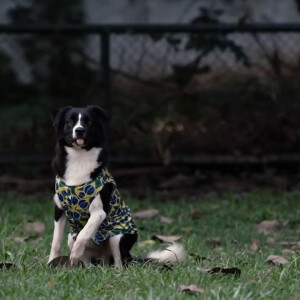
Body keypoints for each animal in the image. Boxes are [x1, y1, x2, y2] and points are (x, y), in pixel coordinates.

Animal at [48, 106, 185, 268]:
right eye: (70, 121)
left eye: (89, 122)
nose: (80, 130)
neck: (79, 158)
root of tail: (103, 260)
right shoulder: (59, 210)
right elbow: (56, 240)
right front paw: (52, 260)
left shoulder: (99, 213)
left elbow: (84, 233)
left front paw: (74, 253)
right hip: (71, 236)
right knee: (87, 260)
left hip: (118, 237)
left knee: (120, 263)